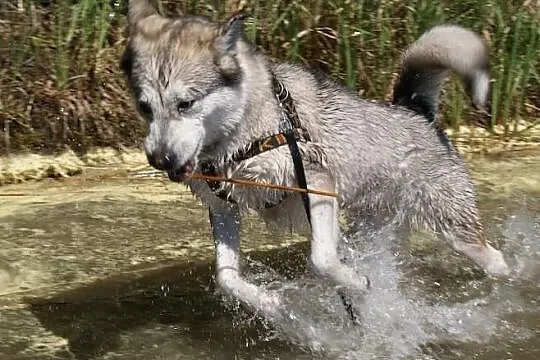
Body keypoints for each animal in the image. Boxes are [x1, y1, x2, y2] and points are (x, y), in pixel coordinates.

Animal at [122, 0, 510, 316]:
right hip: (376, 227)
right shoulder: (223, 208)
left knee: (497, 260)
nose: (160, 159)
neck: (242, 134)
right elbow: (226, 278)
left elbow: (322, 259)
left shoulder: (318, 184)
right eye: (145, 106)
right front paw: (270, 304)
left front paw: (354, 283)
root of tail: (415, 109)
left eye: (186, 103)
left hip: (454, 226)